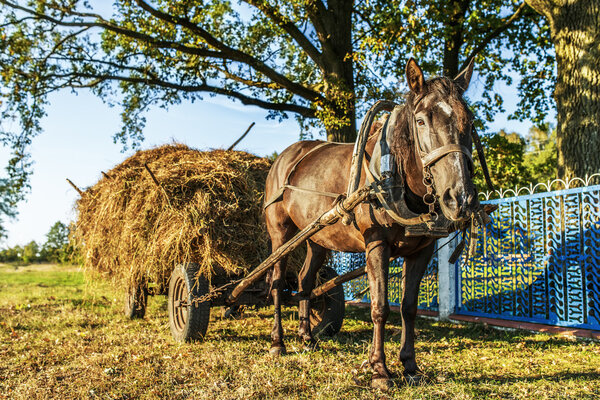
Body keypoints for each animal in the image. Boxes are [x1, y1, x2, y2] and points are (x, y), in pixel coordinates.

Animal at [262, 57, 478, 390]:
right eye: (421, 121)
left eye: (469, 121)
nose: (460, 197)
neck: (395, 177)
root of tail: (285, 156)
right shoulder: (376, 243)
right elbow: (380, 307)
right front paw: (379, 371)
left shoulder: (423, 250)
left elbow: (409, 307)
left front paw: (410, 367)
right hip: (281, 235)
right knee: (275, 281)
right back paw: (278, 342)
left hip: (318, 238)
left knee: (305, 281)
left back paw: (307, 337)